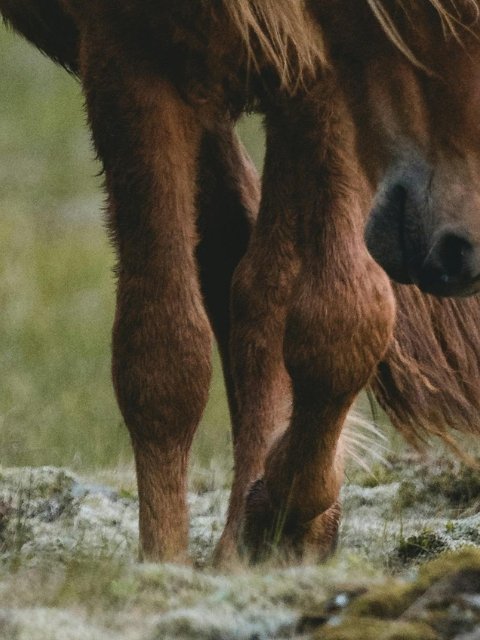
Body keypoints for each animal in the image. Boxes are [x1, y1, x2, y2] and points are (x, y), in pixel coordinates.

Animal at [1, 0, 480, 566]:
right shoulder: (130, 52)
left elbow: (334, 315)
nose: (457, 248)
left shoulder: (317, 71)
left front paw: (278, 521)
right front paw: (167, 558)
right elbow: (163, 351)